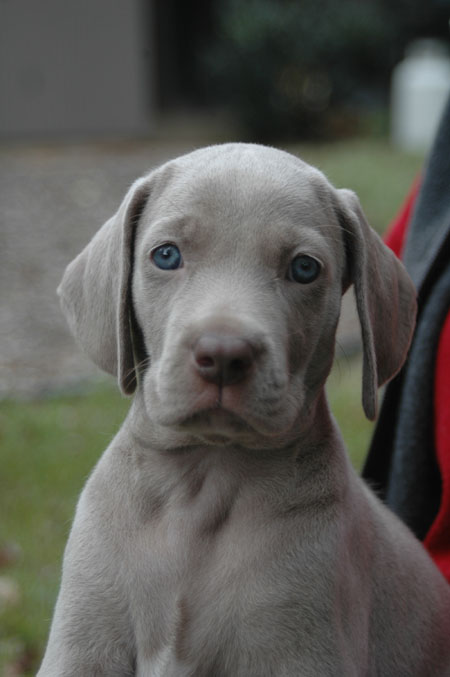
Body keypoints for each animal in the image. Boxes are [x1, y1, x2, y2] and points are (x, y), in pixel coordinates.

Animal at [37, 144, 450, 676]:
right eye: (166, 255)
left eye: (304, 268)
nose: (222, 355)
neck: (205, 482)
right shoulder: (83, 642)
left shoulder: (303, 647)